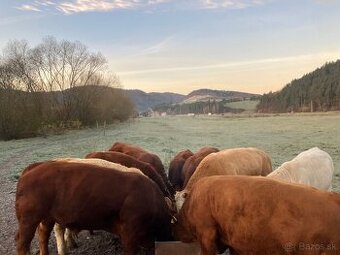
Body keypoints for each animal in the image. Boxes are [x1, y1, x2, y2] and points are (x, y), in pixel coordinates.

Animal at [15, 161, 173, 255]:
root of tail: (34, 167)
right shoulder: (130, 232)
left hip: (47, 218)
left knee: (43, 236)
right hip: (29, 219)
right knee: (22, 243)